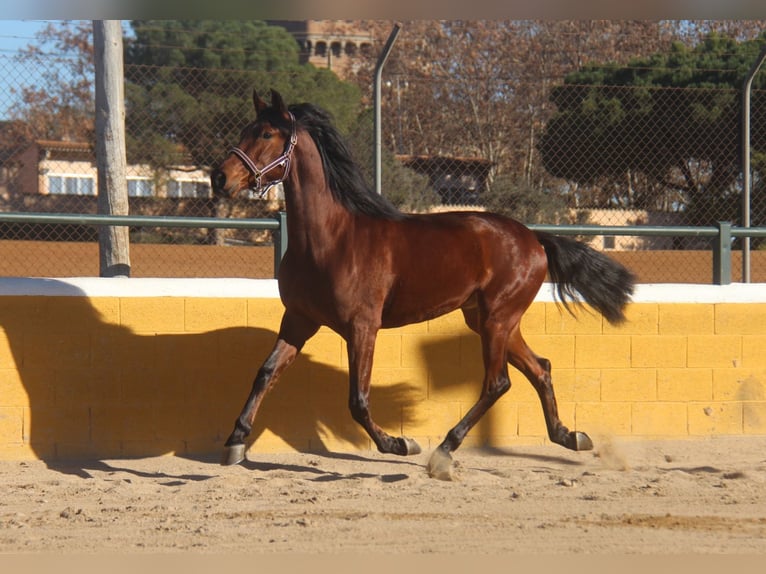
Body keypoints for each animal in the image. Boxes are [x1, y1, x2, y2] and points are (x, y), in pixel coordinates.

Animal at [210, 88, 636, 480]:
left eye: (266, 133)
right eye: (246, 129)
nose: (219, 177)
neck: (330, 239)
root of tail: (533, 237)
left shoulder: (362, 326)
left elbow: (358, 399)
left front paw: (401, 443)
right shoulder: (299, 320)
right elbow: (265, 372)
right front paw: (234, 442)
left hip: (497, 319)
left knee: (497, 382)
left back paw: (445, 450)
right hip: (488, 320)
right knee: (540, 368)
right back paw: (570, 436)